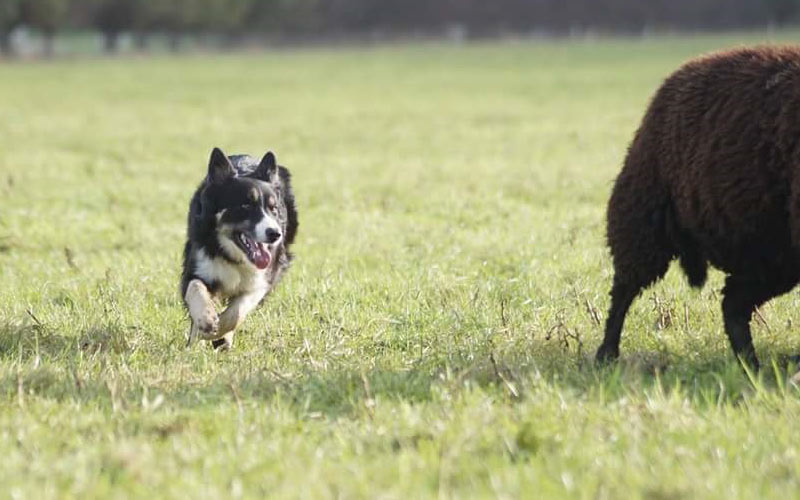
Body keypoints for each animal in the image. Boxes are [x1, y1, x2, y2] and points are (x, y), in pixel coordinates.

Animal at [181, 148, 300, 350]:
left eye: (273, 209)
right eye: (245, 205)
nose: (275, 234)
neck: (234, 255)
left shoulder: (262, 279)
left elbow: (237, 312)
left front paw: (219, 332)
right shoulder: (199, 265)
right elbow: (195, 287)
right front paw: (205, 321)